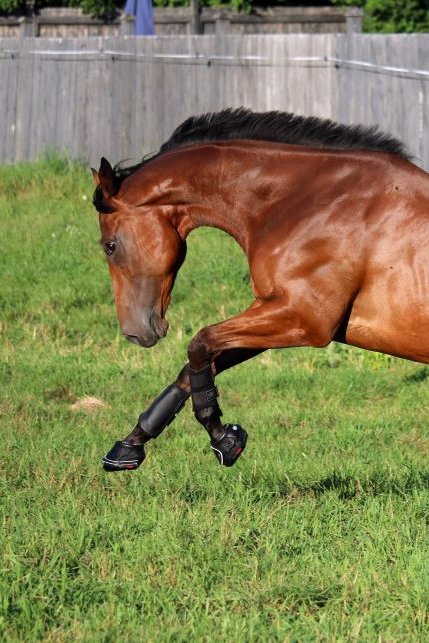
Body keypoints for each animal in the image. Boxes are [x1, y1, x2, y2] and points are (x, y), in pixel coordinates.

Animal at [91, 107, 429, 471]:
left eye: (110, 246)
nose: (134, 333)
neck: (312, 201)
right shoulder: (274, 310)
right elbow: (194, 368)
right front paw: (128, 448)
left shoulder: (304, 319)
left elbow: (200, 343)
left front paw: (224, 439)